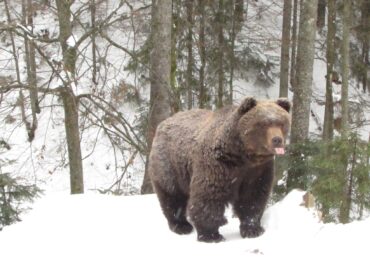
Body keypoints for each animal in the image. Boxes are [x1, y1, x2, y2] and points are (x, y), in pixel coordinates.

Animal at [149, 96, 290, 243]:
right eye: (263, 124)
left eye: (281, 123)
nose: (277, 140)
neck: (243, 156)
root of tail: (163, 123)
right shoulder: (218, 165)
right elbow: (209, 195)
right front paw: (211, 235)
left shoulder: (258, 170)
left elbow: (252, 196)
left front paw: (252, 229)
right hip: (170, 164)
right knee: (172, 193)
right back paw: (181, 225)